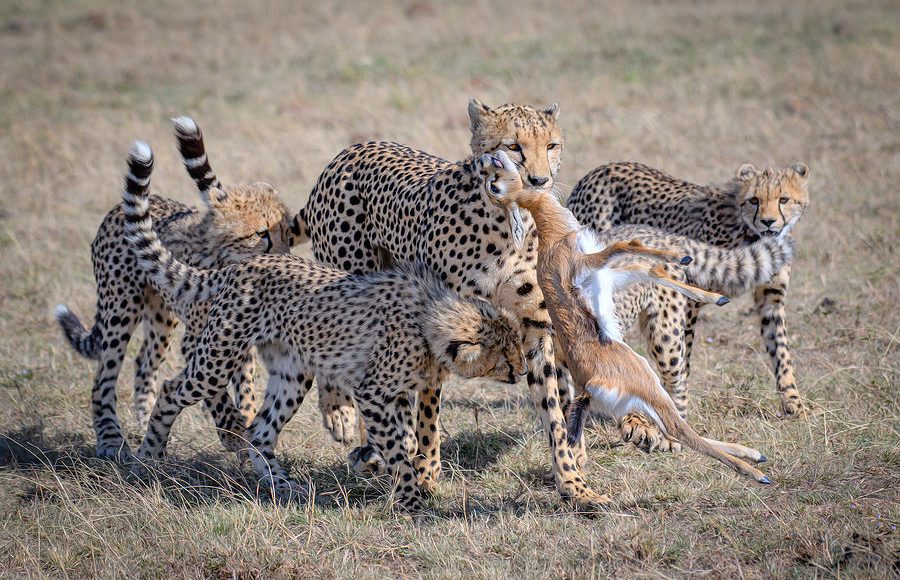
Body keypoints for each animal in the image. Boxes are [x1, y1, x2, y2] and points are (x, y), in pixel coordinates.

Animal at [56, 119, 294, 459]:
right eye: (262, 234)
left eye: (288, 233)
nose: (285, 260)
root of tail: (116, 210)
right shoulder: (200, 339)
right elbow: (217, 392)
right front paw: (233, 430)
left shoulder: (237, 338)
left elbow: (244, 384)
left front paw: (246, 420)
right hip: (121, 309)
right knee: (103, 377)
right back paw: (111, 439)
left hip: (161, 317)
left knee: (144, 363)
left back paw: (146, 422)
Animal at [120, 140, 527, 510]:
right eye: (506, 357)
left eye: (518, 347)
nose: (523, 370)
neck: (434, 316)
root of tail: (242, 266)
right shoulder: (372, 391)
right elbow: (397, 446)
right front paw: (411, 497)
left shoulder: (392, 392)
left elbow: (406, 437)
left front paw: (382, 466)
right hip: (218, 360)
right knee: (171, 390)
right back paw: (149, 455)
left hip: (292, 372)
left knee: (260, 431)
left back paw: (284, 486)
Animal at [291, 100, 613, 508]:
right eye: (513, 146)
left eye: (551, 145)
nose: (539, 181)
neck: (503, 221)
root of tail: (352, 149)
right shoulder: (441, 319)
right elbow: (429, 407)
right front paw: (426, 472)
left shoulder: (534, 327)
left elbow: (552, 410)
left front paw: (574, 484)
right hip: (351, 276)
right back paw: (344, 419)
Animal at [566, 161, 811, 450]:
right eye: (754, 200)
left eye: (784, 199)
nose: (769, 221)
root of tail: (601, 169)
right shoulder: (690, 299)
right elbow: (681, 359)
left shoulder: (771, 298)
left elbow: (780, 349)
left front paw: (794, 403)